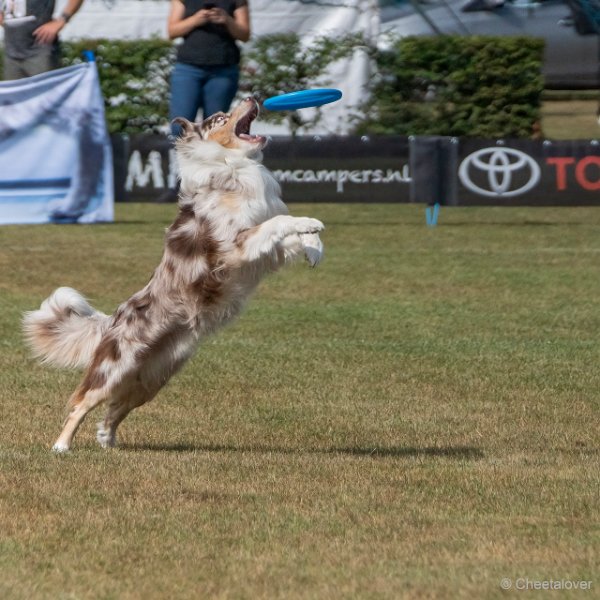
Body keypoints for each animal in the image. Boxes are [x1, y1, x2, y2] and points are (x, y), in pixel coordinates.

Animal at [23, 98, 326, 452]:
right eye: (219, 118)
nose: (254, 97)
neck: (234, 168)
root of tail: (114, 319)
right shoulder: (234, 247)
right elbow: (279, 222)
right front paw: (312, 222)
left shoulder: (263, 254)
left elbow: (289, 234)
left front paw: (314, 247)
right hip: (117, 368)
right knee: (82, 402)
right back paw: (62, 446)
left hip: (153, 377)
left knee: (116, 408)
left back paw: (107, 439)